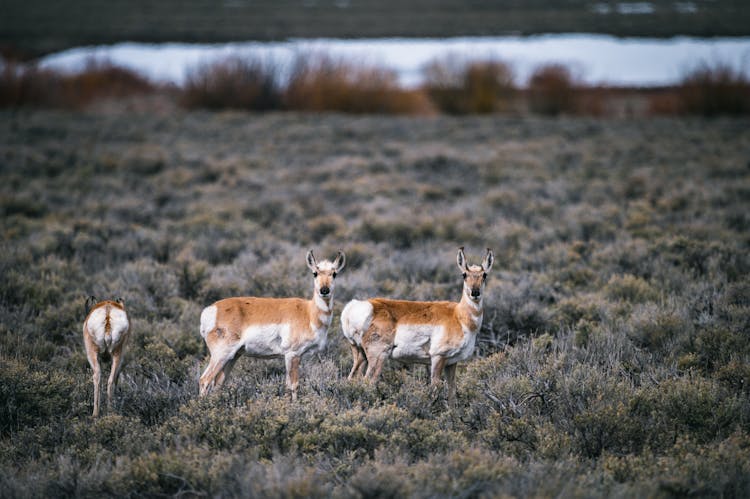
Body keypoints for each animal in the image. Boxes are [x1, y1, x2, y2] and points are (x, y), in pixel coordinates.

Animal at [198, 250, 348, 402]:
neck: (308, 312)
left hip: (232, 357)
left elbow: (288, 385)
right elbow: (294, 385)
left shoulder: (290, 357)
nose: (324, 290)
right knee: (205, 380)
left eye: (334, 273)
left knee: (218, 384)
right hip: (221, 354)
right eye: (315, 273)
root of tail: (211, 309)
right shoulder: (293, 354)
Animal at [340, 248, 494, 404]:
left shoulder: (451, 362)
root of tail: (357, 306)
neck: (458, 315)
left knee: (352, 379)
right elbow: (435, 388)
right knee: (368, 382)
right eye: (464, 274)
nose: (475, 293)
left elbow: (452, 393)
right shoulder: (438, 357)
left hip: (360, 355)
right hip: (378, 356)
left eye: (484, 275)